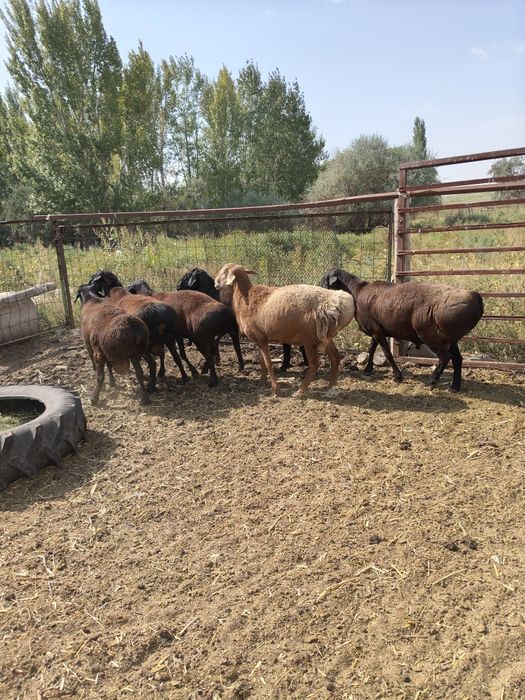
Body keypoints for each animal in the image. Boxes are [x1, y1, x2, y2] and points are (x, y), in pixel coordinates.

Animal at [177, 267, 307, 373]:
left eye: (186, 276)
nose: (177, 286)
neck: (216, 296)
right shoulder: (223, 329)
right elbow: (216, 341)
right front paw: (216, 359)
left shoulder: (233, 328)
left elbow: (235, 346)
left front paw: (240, 366)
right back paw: (301, 362)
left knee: (288, 345)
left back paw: (286, 365)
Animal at [214, 264, 355, 396]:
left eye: (224, 271)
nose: (215, 283)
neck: (244, 297)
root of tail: (337, 303)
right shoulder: (260, 338)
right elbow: (261, 361)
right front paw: (261, 382)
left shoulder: (260, 339)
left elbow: (268, 363)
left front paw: (275, 390)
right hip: (325, 336)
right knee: (335, 357)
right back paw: (330, 385)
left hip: (309, 338)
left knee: (314, 364)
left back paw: (300, 391)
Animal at [319, 268, 484, 392]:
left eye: (325, 280)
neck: (357, 292)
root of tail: (474, 295)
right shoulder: (376, 330)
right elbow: (371, 349)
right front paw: (368, 369)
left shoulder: (377, 331)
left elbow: (387, 352)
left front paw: (397, 375)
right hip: (450, 338)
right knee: (457, 359)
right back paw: (455, 386)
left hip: (431, 336)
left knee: (445, 357)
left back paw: (433, 379)